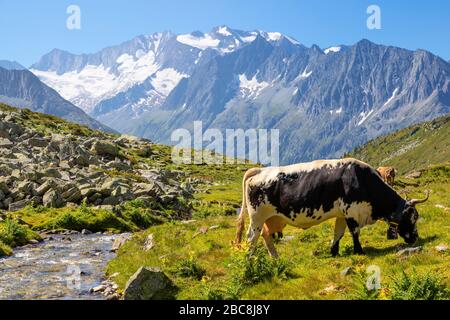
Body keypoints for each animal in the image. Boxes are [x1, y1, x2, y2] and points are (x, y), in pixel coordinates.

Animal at [236, 158, 428, 258]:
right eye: (412, 217)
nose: (415, 238)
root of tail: (259, 171)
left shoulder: (342, 214)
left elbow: (339, 233)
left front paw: (334, 252)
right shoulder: (352, 212)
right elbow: (354, 232)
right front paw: (359, 251)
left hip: (272, 218)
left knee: (265, 235)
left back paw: (275, 257)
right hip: (257, 217)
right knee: (252, 237)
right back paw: (250, 259)